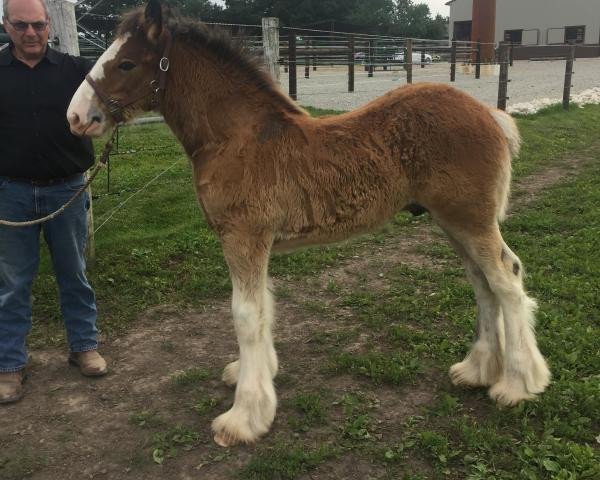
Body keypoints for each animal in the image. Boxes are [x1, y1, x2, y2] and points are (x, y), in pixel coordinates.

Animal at [65, 1, 548, 448]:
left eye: (127, 63)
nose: (77, 117)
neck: (236, 137)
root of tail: (491, 115)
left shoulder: (243, 238)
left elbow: (245, 314)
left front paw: (243, 418)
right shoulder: (256, 243)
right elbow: (264, 306)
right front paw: (253, 376)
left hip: (471, 220)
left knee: (506, 279)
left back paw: (516, 384)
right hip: (454, 222)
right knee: (482, 284)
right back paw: (477, 370)